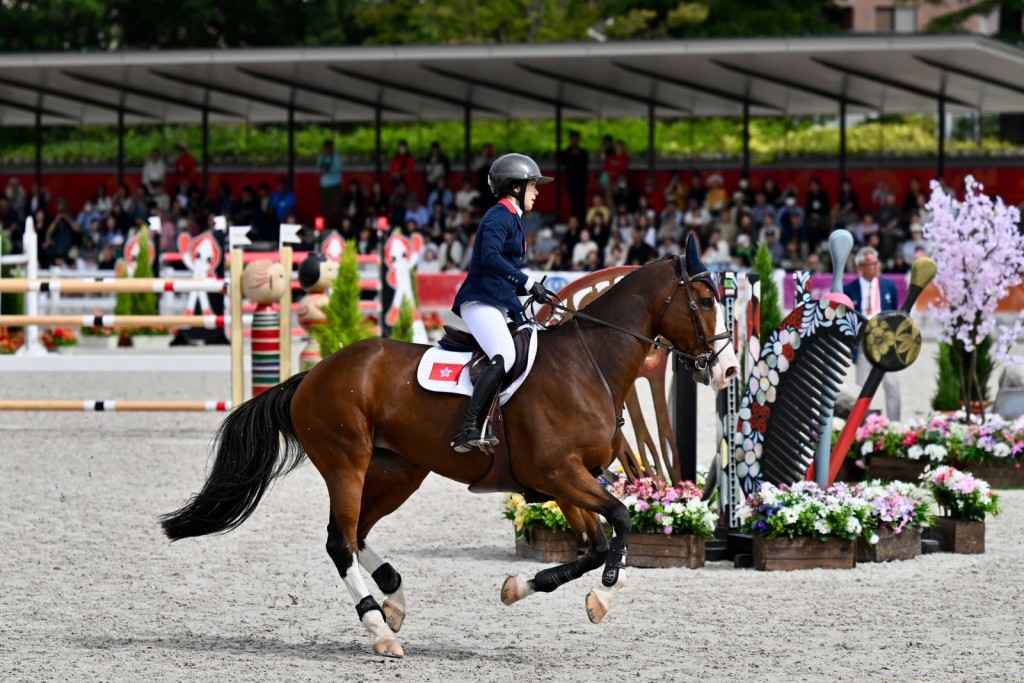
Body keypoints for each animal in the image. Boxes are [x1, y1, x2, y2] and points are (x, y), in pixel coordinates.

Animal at [160, 235, 740, 658]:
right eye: (704, 301)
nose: (729, 371)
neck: (588, 363)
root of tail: (313, 375)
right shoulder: (560, 474)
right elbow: (619, 520)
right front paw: (603, 595)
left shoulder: (565, 480)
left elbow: (594, 543)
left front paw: (519, 588)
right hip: (347, 461)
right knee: (340, 540)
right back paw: (380, 629)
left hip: (398, 472)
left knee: (359, 532)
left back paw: (393, 597)